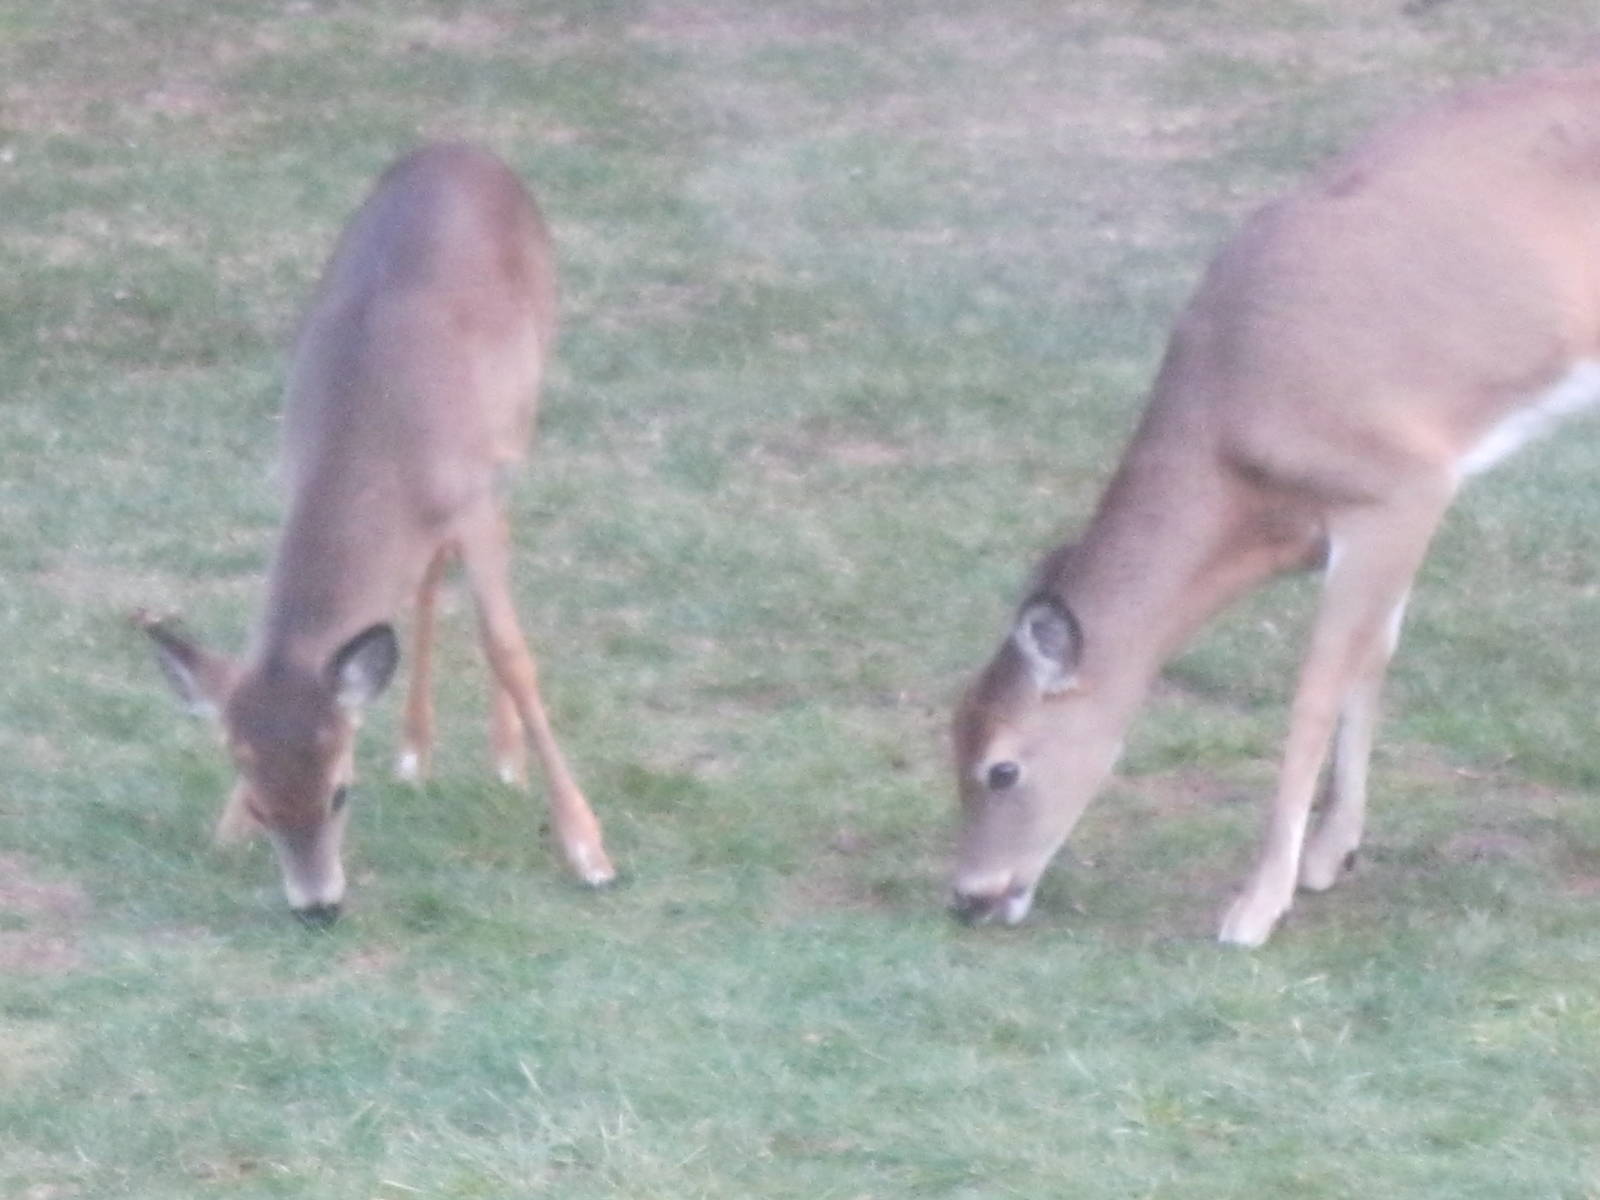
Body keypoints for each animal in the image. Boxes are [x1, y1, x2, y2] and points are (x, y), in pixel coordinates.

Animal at [137, 143, 614, 924]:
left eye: (340, 793)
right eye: (263, 805)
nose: (317, 908)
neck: (370, 429)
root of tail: (463, 146)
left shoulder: (469, 494)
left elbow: (509, 648)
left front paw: (585, 847)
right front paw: (224, 830)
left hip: (521, 407)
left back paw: (503, 756)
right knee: (423, 577)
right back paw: (416, 751)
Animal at [950, 64, 1600, 947]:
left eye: (1003, 767)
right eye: (949, 733)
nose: (969, 896)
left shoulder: (1399, 487)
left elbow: (1317, 692)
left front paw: (1255, 907)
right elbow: (1372, 659)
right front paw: (1331, 856)